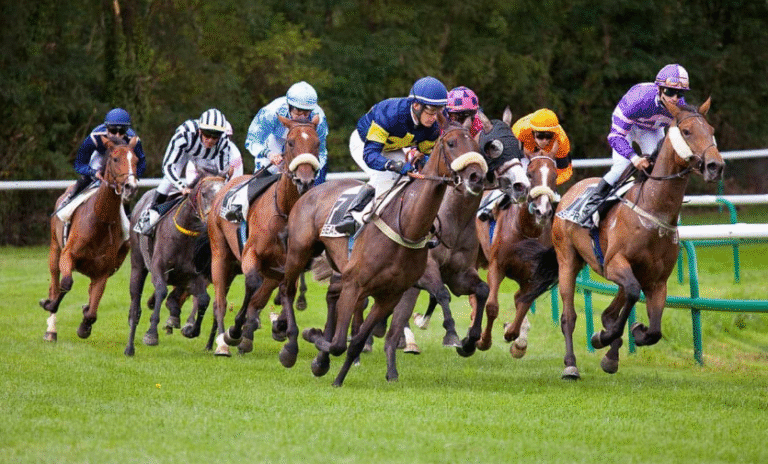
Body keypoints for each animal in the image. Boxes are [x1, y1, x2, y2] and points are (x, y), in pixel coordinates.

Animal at [39, 136, 140, 341]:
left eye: (136, 160)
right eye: (115, 159)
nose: (131, 187)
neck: (100, 220)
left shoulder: (103, 272)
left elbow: (93, 310)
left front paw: (84, 326)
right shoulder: (67, 255)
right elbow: (65, 284)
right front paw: (49, 304)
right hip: (54, 250)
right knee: (54, 284)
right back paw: (51, 330)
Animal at [124, 175, 226, 356]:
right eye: (204, 194)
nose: (213, 220)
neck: (184, 235)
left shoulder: (193, 276)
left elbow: (204, 300)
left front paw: (191, 330)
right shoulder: (158, 269)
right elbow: (161, 291)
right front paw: (151, 334)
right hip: (137, 265)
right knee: (135, 305)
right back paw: (129, 347)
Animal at [208, 115, 320, 357]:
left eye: (317, 143)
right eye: (290, 143)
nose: (305, 181)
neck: (285, 211)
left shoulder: (288, 265)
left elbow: (283, 291)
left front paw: (277, 327)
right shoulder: (251, 253)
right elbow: (251, 283)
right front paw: (234, 331)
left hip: (270, 271)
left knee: (258, 300)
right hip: (220, 253)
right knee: (220, 301)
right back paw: (222, 342)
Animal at [280, 121, 488, 386]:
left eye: (475, 145)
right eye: (451, 143)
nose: (476, 177)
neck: (407, 225)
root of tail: (313, 189)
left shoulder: (392, 294)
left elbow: (355, 341)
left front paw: (335, 375)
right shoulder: (356, 285)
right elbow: (339, 343)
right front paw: (313, 338)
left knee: (331, 296)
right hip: (299, 252)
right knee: (287, 289)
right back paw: (290, 347)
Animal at [549, 98, 724, 379]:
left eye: (711, 130)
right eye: (687, 131)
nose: (715, 166)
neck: (653, 210)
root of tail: (571, 192)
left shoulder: (657, 281)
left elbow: (654, 331)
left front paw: (631, 335)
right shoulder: (615, 264)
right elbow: (630, 297)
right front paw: (604, 337)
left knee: (613, 309)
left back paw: (610, 352)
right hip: (567, 260)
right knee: (569, 316)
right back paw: (571, 365)